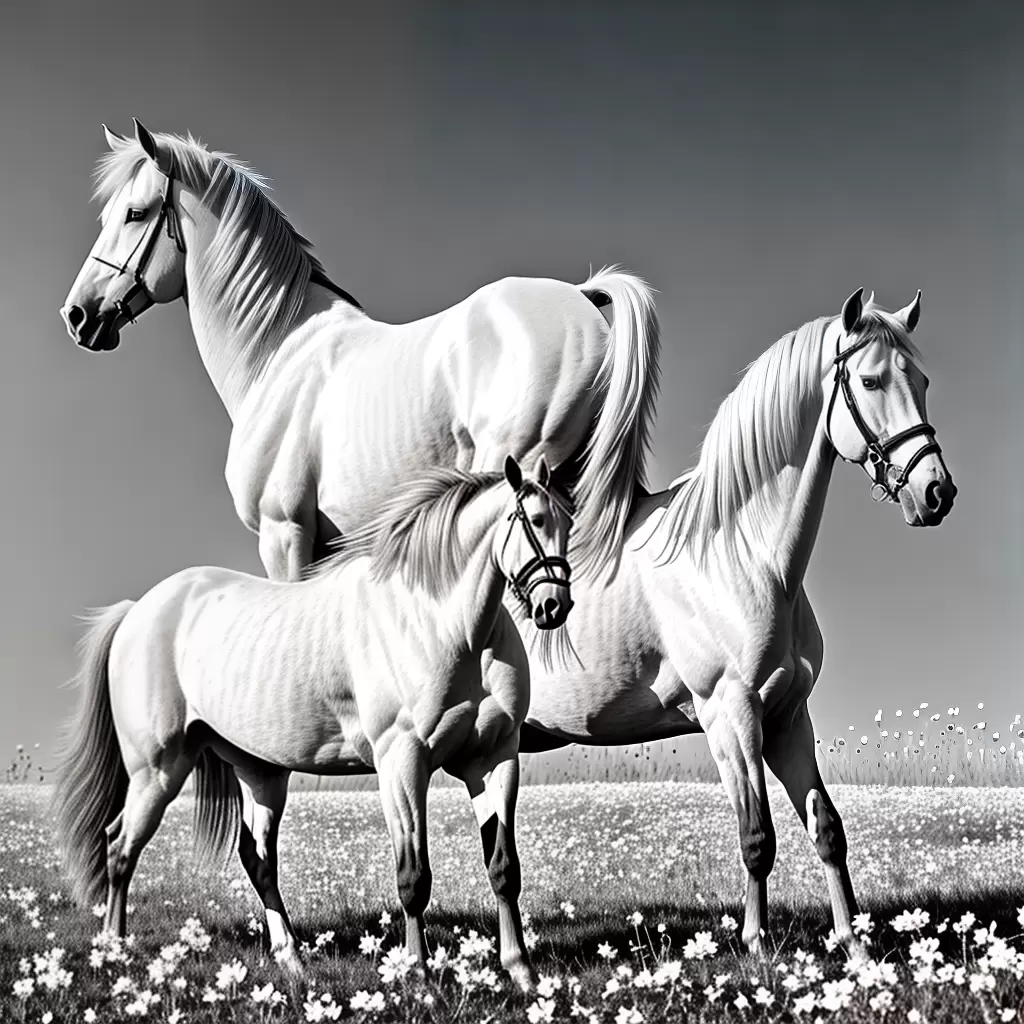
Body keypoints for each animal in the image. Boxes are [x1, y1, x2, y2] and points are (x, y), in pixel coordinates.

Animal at [51, 455, 573, 992]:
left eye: (568, 523)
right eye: (534, 521)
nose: (554, 606)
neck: (441, 626)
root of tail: (138, 612)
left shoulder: (492, 759)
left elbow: (504, 868)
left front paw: (522, 971)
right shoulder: (402, 764)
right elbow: (413, 877)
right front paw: (417, 974)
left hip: (260, 774)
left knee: (257, 860)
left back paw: (291, 960)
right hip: (158, 770)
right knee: (120, 848)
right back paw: (114, 950)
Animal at [511, 288, 956, 959]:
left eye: (923, 381)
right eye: (871, 380)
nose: (936, 492)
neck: (738, 554)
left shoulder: (788, 717)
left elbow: (827, 828)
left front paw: (854, 946)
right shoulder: (730, 716)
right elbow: (757, 836)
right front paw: (756, 944)